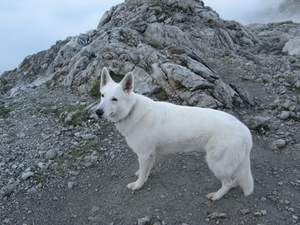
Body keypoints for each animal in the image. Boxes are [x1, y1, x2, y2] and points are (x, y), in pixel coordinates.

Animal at [95, 67, 253, 200]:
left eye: (114, 99)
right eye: (102, 95)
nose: (98, 112)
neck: (131, 110)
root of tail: (244, 130)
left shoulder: (144, 154)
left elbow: (142, 174)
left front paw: (138, 185)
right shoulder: (150, 154)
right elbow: (146, 169)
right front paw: (143, 175)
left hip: (216, 163)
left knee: (227, 182)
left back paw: (216, 195)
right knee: (234, 179)